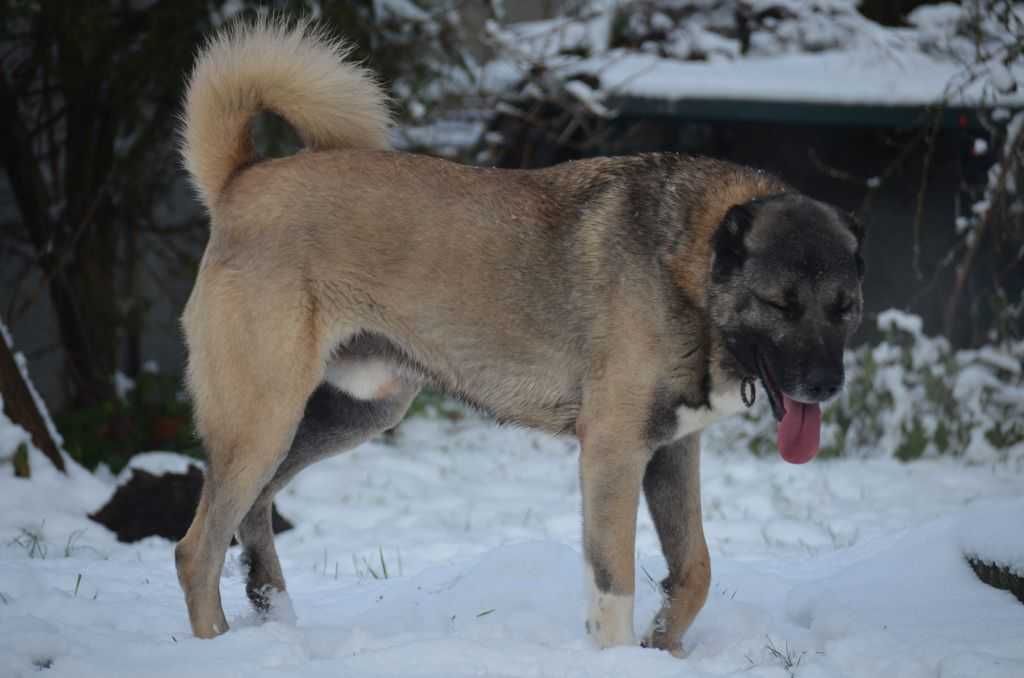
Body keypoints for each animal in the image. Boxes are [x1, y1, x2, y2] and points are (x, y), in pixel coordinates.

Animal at [176, 14, 864, 655]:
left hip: (352, 412)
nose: (825, 386)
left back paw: (272, 613)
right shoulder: (613, 452)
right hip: (263, 418)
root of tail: (240, 180)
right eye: (780, 304)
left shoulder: (671, 451)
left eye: (845, 308)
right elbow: (614, 584)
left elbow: (695, 569)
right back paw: (215, 646)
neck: (689, 265)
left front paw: (662, 645)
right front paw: (621, 655)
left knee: (254, 511)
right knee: (196, 549)